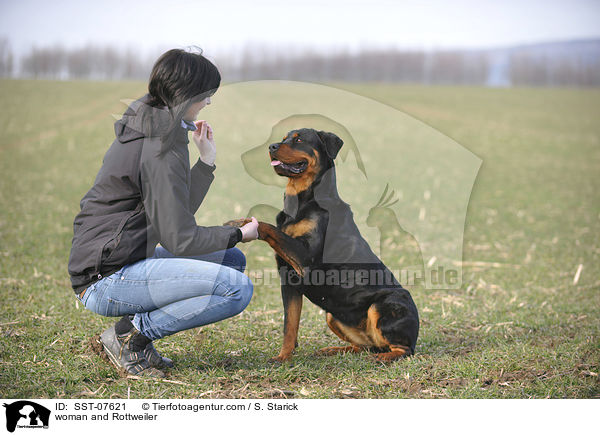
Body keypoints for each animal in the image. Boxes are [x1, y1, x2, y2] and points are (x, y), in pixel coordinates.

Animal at [227, 127, 420, 362]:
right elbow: (289, 325)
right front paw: (283, 357)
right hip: (333, 316)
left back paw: (380, 358)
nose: (272, 147)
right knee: (366, 345)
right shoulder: (289, 279)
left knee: (403, 349)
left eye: (299, 139)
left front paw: (241, 224)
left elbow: (268, 227)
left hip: (385, 303)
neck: (302, 200)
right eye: (283, 139)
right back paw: (333, 350)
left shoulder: (304, 258)